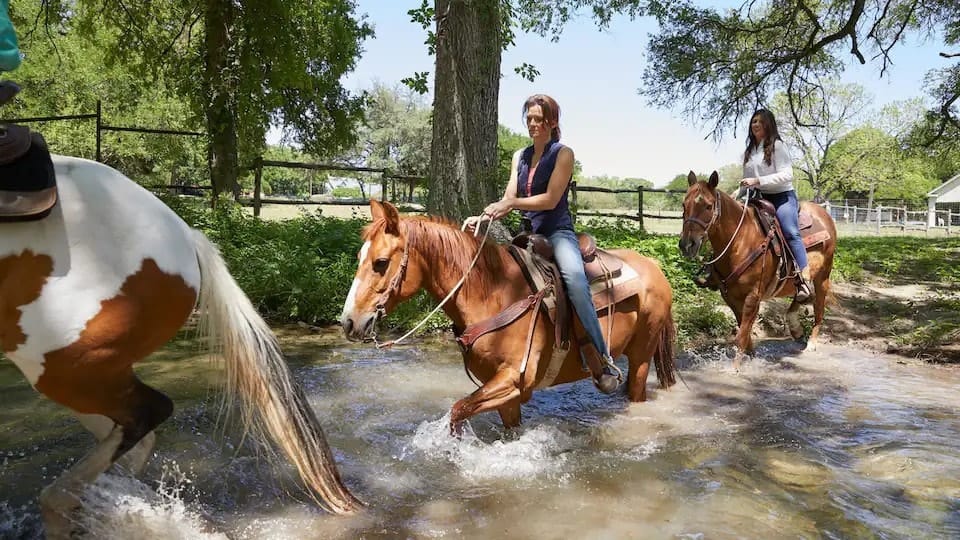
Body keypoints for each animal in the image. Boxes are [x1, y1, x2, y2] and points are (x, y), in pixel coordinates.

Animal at [340, 200, 678, 433]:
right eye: (359, 257)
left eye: (381, 262)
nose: (349, 321)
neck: (495, 293)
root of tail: (654, 266)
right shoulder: (505, 393)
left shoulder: (514, 380)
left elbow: (457, 411)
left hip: (641, 357)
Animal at [678, 171, 837, 367]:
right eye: (684, 205)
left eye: (708, 206)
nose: (687, 245)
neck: (740, 241)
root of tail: (823, 214)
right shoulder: (730, 297)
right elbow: (744, 333)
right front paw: (751, 357)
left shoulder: (753, 297)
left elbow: (741, 335)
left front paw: (735, 369)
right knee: (802, 295)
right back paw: (796, 327)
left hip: (823, 276)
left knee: (819, 307)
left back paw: (811, 343)